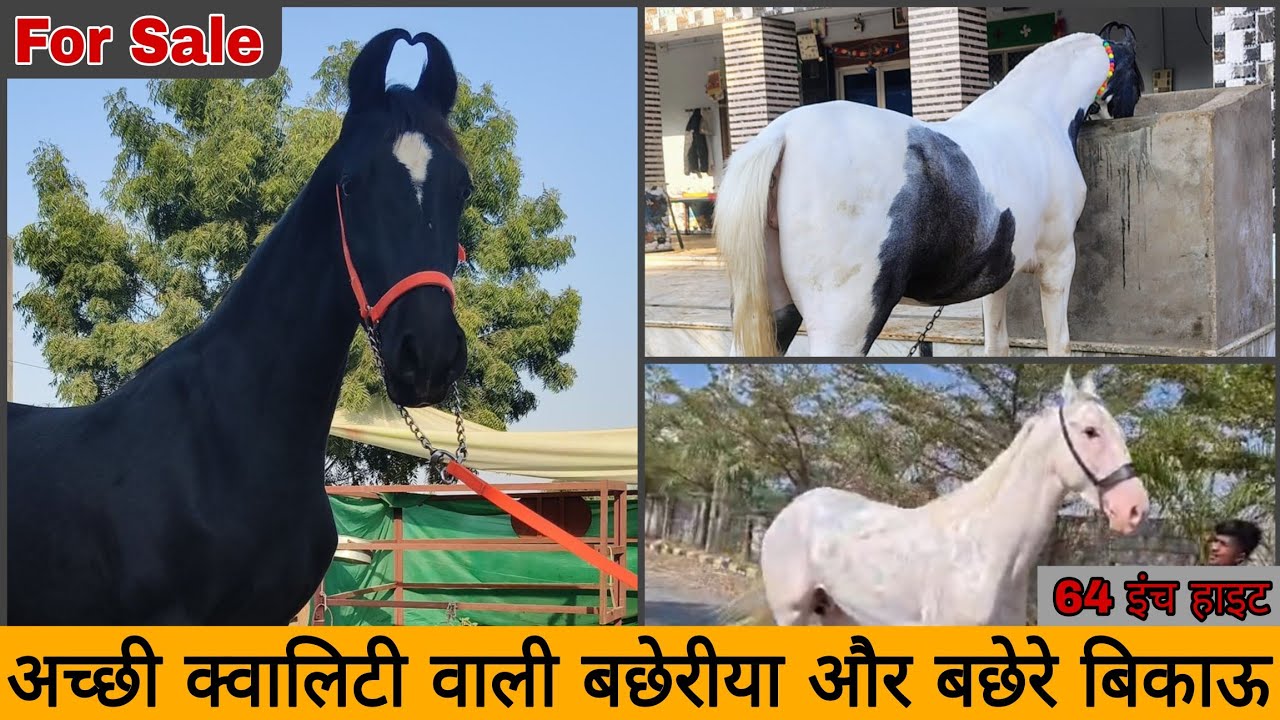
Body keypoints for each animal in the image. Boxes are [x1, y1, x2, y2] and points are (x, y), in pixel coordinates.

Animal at [715, 24, 1144, 358]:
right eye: (1138, 79)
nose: (1126, 113)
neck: (1035, 115)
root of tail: (782, 135)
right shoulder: (1058, 264)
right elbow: (1060, 345)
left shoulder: (997, 275)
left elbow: (997, 345)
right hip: (845, 323)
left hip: (773, 312)